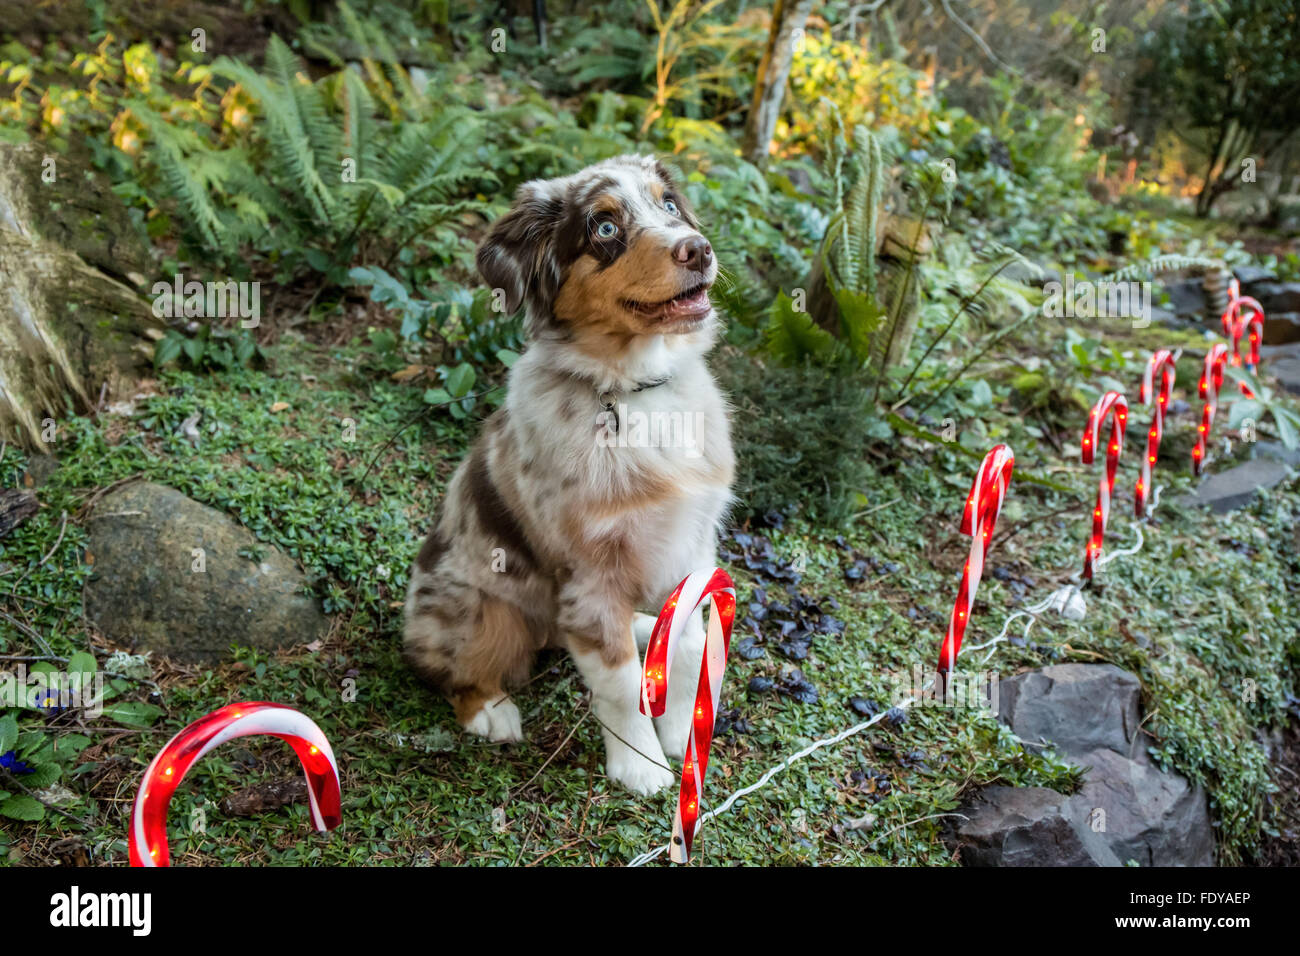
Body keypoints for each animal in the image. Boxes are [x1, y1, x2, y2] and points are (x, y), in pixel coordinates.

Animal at [400, 157, 738, 796]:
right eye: (603, 228)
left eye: (670, 205)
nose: (699, 249)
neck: (636, 391)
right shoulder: (589, 578)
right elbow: (621, 686)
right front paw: (643, 768)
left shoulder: (694, 549)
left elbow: (686, 650)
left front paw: (683, 734)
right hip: (482, 609)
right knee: (448, 668)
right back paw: (490, 711)